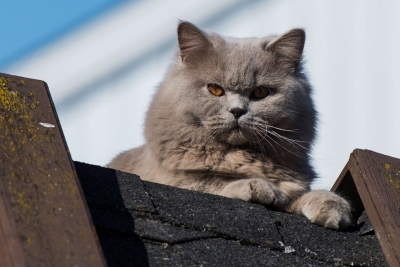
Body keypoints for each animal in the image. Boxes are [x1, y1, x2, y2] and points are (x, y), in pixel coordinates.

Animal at [108, 21, 352, 230]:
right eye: (215, 89)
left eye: (260, 92)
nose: (237, 111)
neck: (239, 156)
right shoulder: (178, 182)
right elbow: (213, 184)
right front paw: (258, 186)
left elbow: (302, 196)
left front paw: (332, 206)